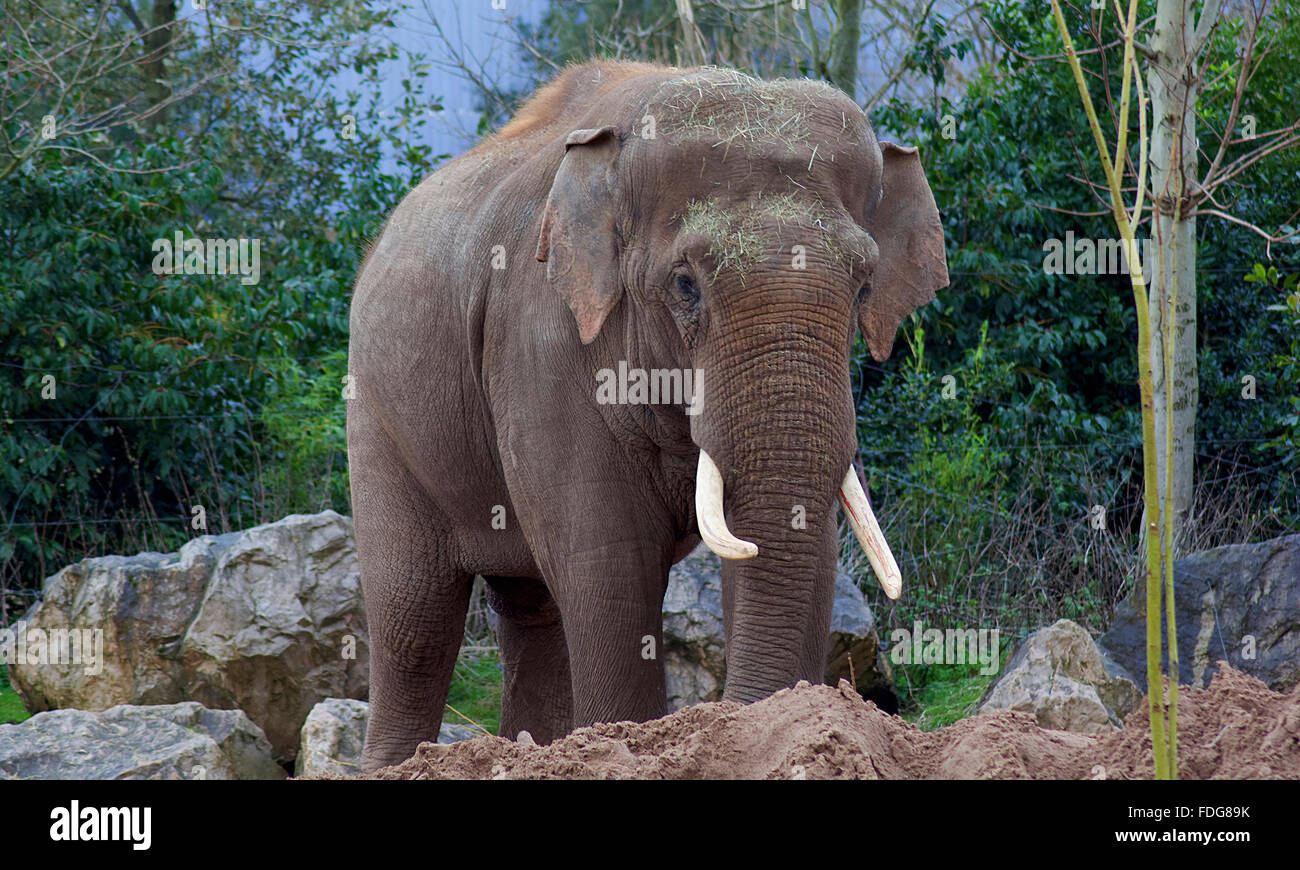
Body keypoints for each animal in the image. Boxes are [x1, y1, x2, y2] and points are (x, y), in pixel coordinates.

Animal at [351, 59, 951, 764]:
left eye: (863, 288)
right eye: (685, 286)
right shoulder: (542, 341)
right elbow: (609, 559)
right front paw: (621, 741)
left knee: (530, 606)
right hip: (377, 417)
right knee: (413, 617)